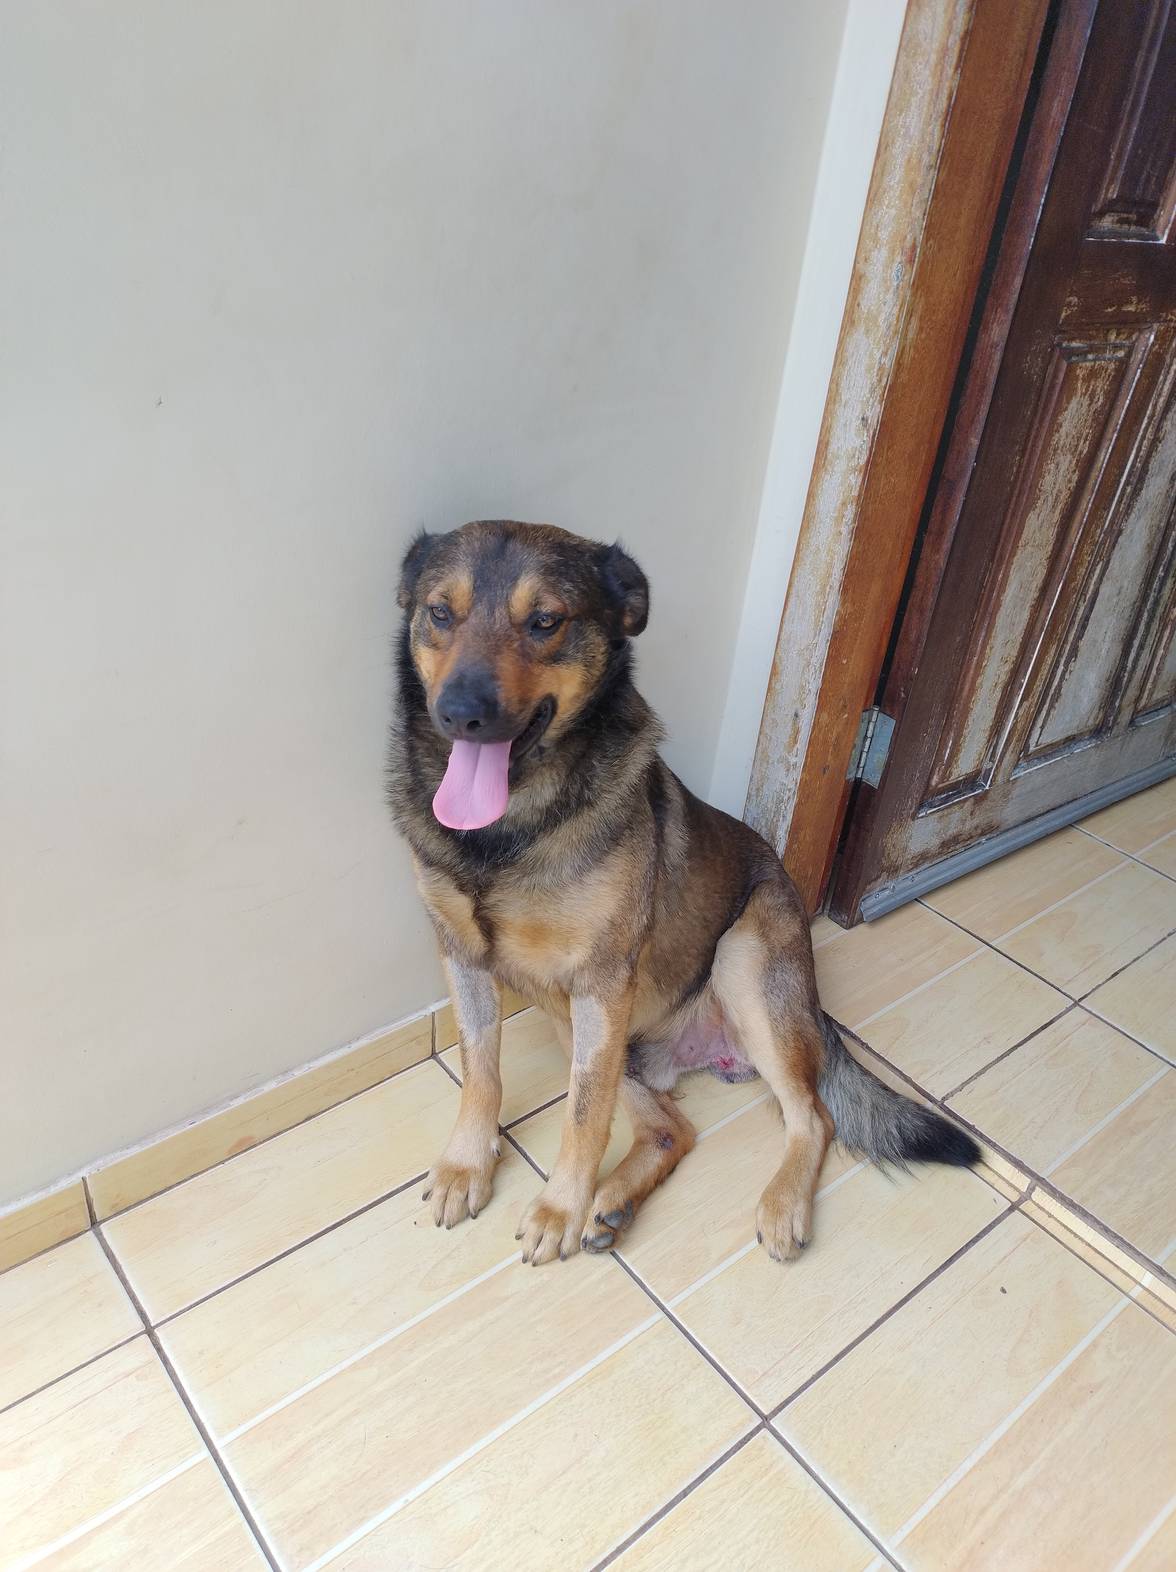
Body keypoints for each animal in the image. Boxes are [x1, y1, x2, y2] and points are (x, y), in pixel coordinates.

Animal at [388, 520, 978, 1266]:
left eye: (545, 621)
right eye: (440, 613)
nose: (459, 714)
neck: (506, 832)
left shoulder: (601, 982)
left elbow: (583, 1118)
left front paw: (558, 1207)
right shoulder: (463, 957)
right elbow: (480, 1071)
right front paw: (468, 1163)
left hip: (737, 961)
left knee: (811, 1117)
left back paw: (777, 1206)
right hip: (576, 1023)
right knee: (674, 1128)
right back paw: (612, 1203)